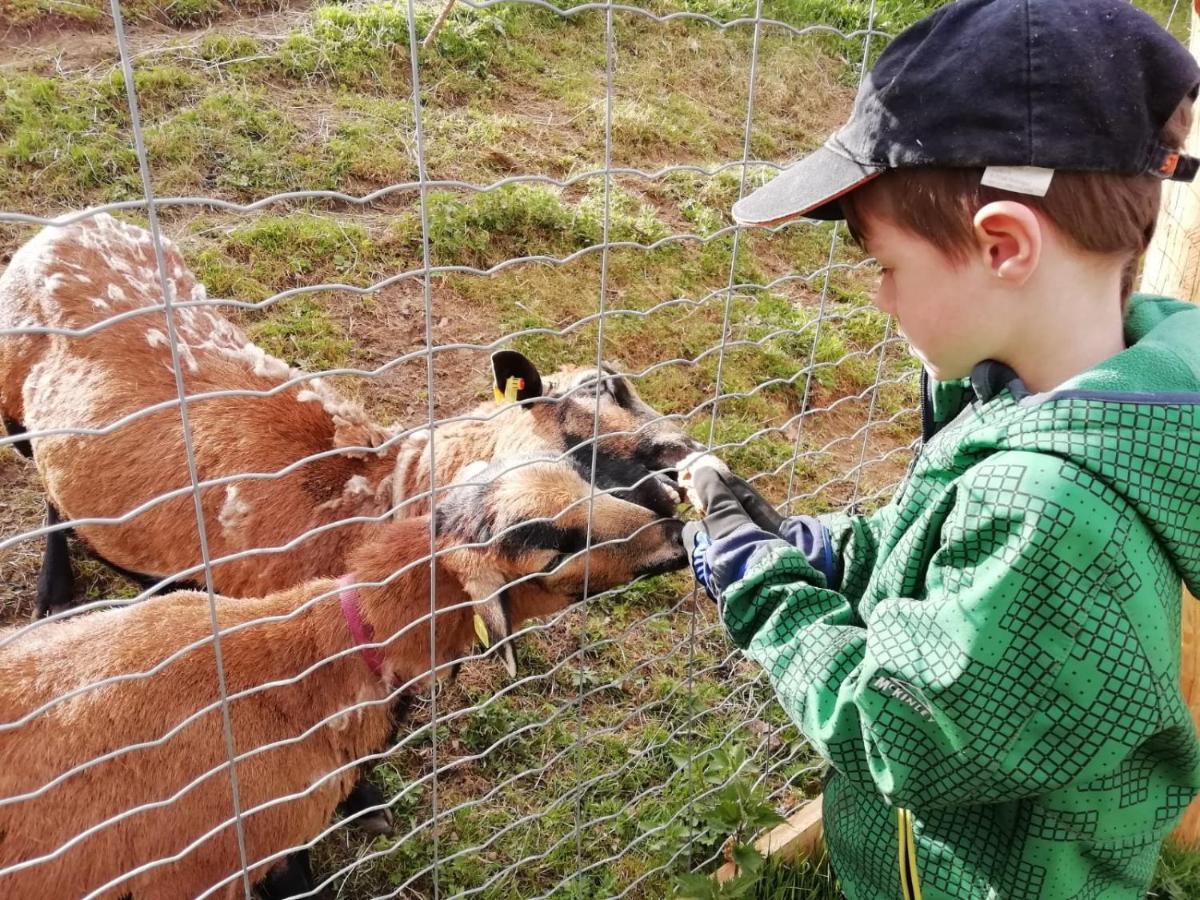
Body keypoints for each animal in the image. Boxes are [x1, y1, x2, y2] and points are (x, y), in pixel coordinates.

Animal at [0, 214, 700, 619]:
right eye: (594, 396)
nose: (683, 451)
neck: (382, 489)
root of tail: (65, 224)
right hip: (18, 415)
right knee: (48, 491)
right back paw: (53, 593)